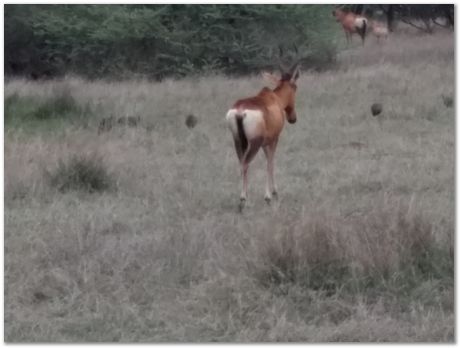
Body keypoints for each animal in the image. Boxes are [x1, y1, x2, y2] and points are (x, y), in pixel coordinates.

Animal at [226, 61, 302, 211]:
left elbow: (268, 160)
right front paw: (271, 195)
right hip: (254, 143)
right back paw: (243, 199)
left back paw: (243, 199)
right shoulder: (274, 139)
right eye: (295, 87)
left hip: (238, 141)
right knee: (246, 163)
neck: (274, 99)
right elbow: (270, 162)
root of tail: (240, 111)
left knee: (241, 163)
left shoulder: (264, 143)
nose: (293, 118)